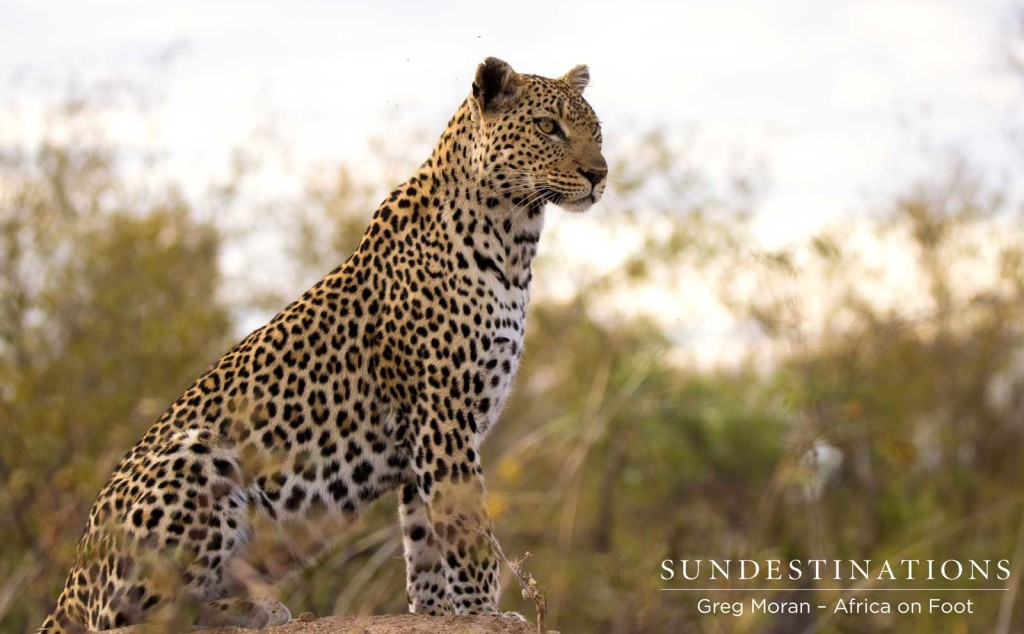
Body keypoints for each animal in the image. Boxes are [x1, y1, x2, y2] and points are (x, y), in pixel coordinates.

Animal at [39, 57, 606, 630]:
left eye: (595, 129)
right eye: (548, 128)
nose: (599, 175)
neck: (513, 240)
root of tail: (72, 583)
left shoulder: (427, 434)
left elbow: (423, 535)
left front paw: (434, 610)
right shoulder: (443, 414)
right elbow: (467, 527)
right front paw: (484, 611)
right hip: (196, 456)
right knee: (134, 618)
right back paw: (252, 609)